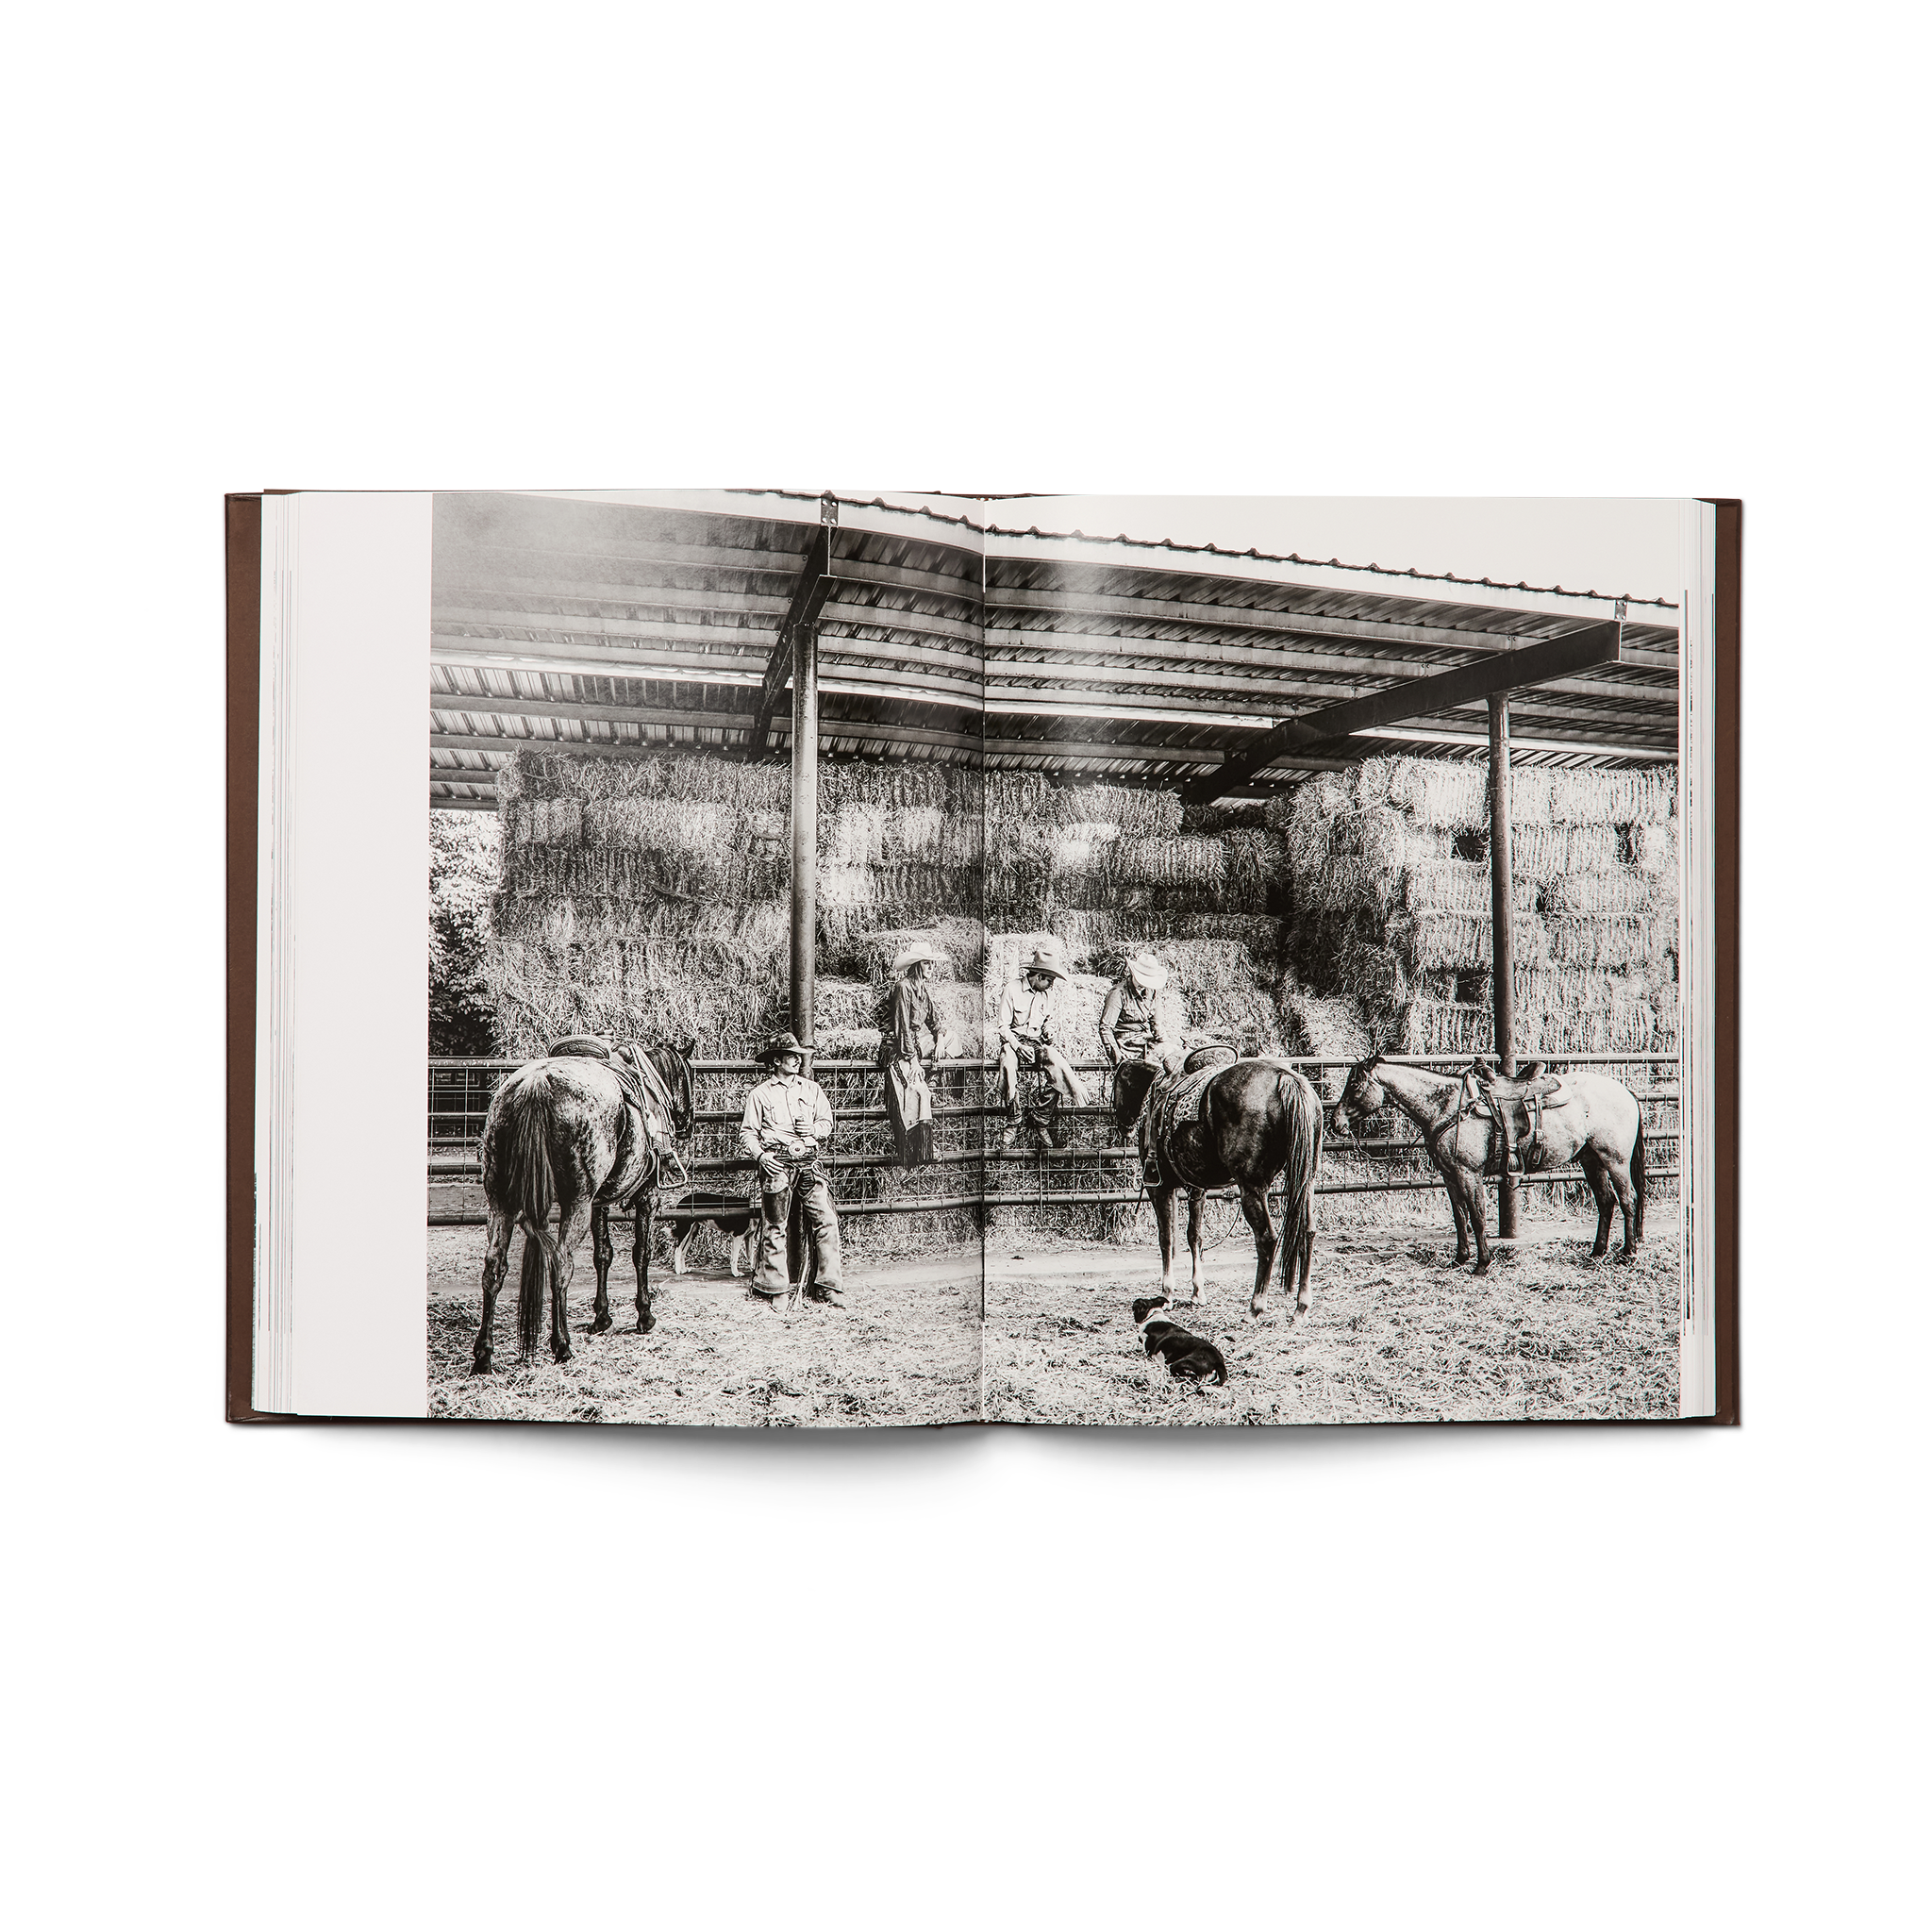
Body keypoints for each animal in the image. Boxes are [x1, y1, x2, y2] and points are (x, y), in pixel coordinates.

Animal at [471, 1042, 699, 1375]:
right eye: (687, 1075)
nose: (687, 1123)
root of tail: (535, 1085)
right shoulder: (647, 1196)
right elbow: (640, 1253)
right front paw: (644, 1315)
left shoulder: (598, 1204)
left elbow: (603, 1254)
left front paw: (601, 1318)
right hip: (575, 1203)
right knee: (561, 1262)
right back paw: (562, 1346)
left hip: (501, 1202)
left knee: (494, 1267)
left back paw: (483, 1355)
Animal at [1120, 1051, 1329, 1321]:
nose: (1122, 1125)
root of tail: (1285, 1078)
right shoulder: (1197, 1189)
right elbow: (1194, 1236)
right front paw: (1197, 1292)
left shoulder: (1160, 1187)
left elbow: (1166, 1238)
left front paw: (1166, 1294)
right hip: (1306, 1182)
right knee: (1307, 1231)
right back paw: (1301, 1306)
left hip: (1252, 1187)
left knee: (1267, 1238)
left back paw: (1255, 1307)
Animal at [1329, 1051, 1645, 1274]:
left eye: (1355, 1085)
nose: (1335, 1122)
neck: (1446, 1107)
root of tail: (1627, 1093)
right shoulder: (1450, 1176)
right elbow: (1460, 1217)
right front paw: (1460, 1259)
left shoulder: (1469, 1174)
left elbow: (1478, 1216)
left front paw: (1482, 1264)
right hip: (1591, 1160)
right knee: (1606, 1201)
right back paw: (1597, 1252)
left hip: (1614, 1160)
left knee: (1628, 1199)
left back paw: (1628, 1253)